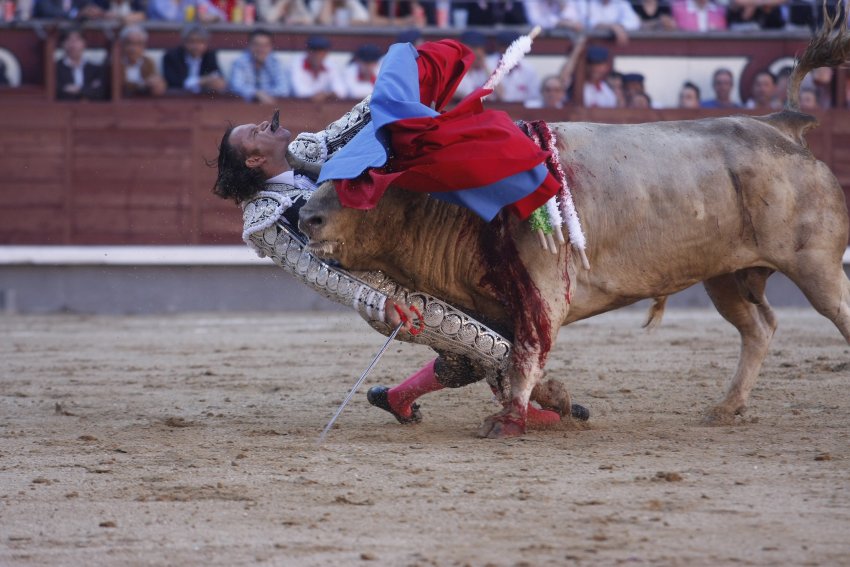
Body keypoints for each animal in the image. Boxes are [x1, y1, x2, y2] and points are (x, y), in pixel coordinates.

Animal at [296, 18, 848, 440]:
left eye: (367, 176)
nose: (305, 218)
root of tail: (781, 124)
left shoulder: (541, 290)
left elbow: (522, 356)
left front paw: (510, 422)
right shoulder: (492, 307)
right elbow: (486, 359)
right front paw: (552, 405)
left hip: (814, 263)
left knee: (832, 312)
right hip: (725, 276)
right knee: (757, 328)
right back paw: (726, 408)